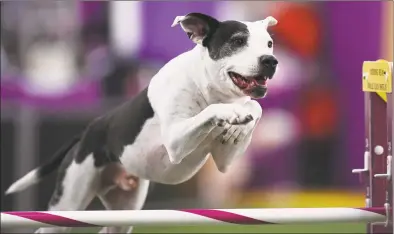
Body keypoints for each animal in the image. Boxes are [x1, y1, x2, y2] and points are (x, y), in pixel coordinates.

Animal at [4, 13, 278, 234]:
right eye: (238, 41)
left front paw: (239, 122)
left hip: (122, 212)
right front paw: (231, 113)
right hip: (68, 203)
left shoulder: (225, 161)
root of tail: (88, 132)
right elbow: (212, 110)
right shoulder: (176, 140)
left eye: (269, 44)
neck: (206, 87)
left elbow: (255, 107)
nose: (271, 60)